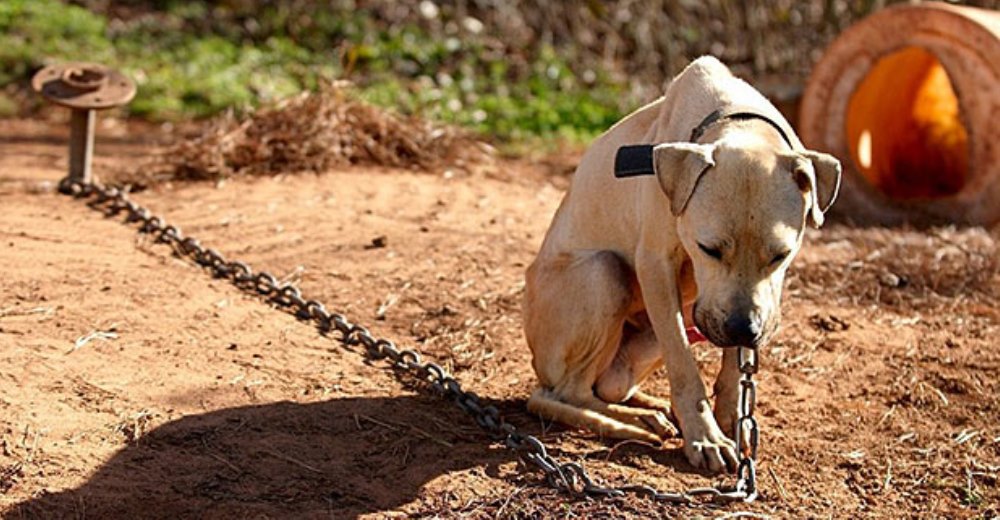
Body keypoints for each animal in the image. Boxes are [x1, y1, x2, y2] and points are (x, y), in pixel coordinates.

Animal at [528, 55, 840, 472]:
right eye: (708, 249)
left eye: (781, 254)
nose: (743, 329)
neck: (738, 119)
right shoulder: (656, 266)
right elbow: (684, 366)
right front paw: (706, 437)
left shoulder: (748, 305)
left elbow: (734, 365)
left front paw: (732, 417)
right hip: (604, 273)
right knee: (563, 394)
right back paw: (634, 423)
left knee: (604, 387)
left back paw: (649, 408)